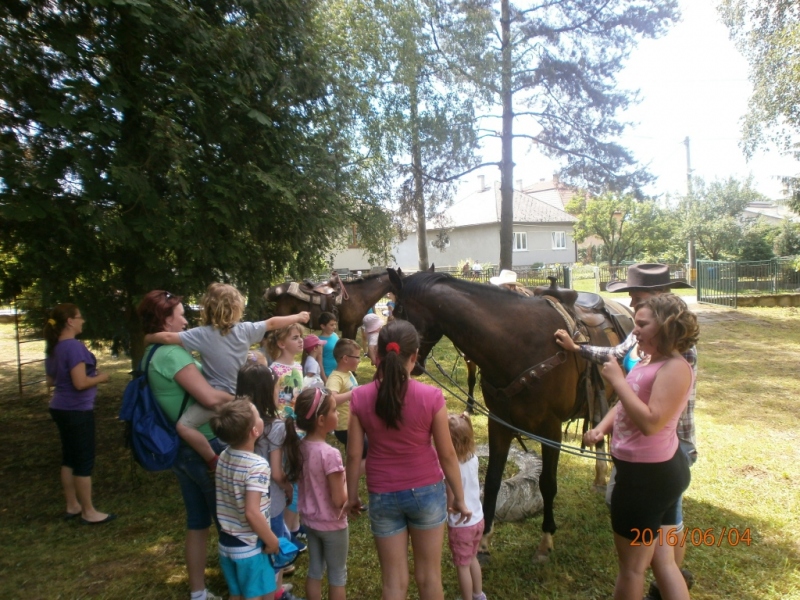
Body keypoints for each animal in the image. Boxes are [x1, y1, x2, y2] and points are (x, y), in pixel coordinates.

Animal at [388, 268, 592, 564]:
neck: (517, 344)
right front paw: (484, 540)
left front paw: (545, 539)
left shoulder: (551, 429)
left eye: (398, 310)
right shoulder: (499, 422)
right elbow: (494, 480)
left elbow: (547, 483)